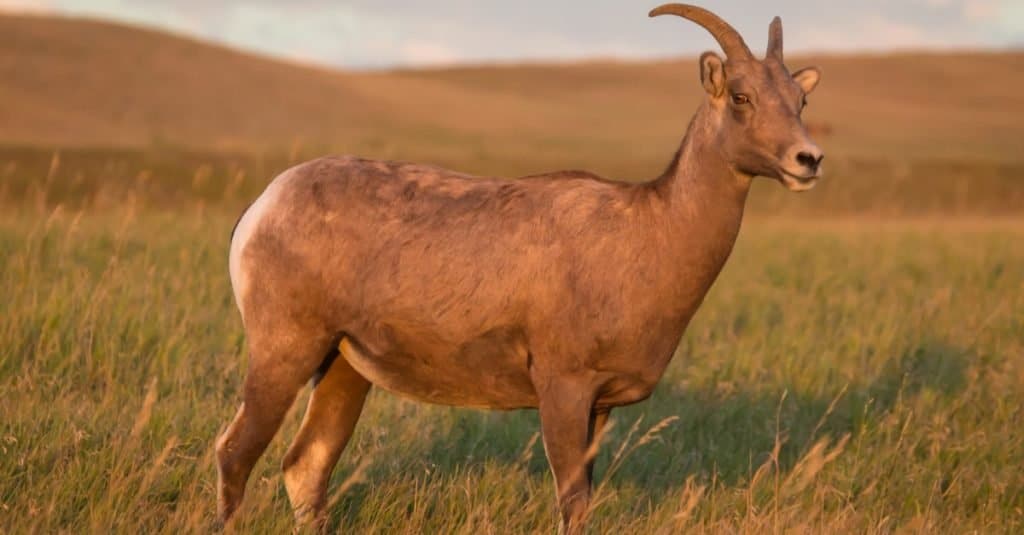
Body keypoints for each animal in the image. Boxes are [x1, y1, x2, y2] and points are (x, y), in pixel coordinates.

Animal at [214, 3, 823, 528]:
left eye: (799, 99)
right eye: (741, 96)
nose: (808, 160)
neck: (647, 232)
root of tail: (264, 205)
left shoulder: (599, 408)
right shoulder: (563, 391)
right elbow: (572, 502)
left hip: (342, 367)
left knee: (306, 466)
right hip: (285, 353)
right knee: (236, 453)